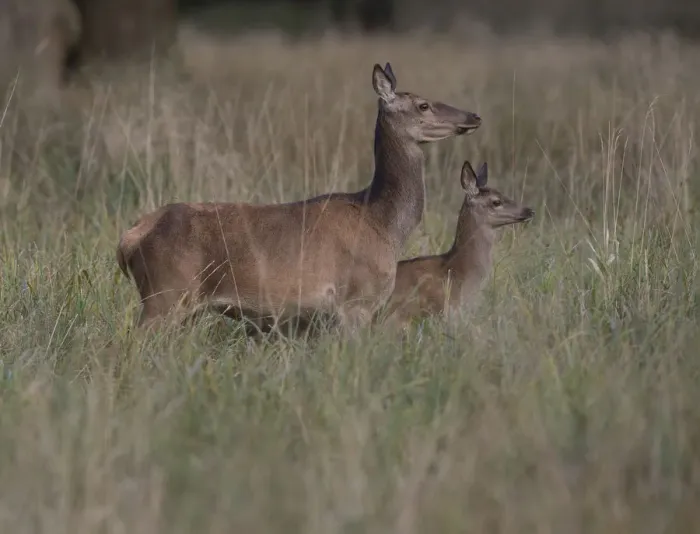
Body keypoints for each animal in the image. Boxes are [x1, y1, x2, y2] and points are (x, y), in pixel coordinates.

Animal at [116, 62, 482, 335]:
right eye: (423, 104)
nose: (473, 116)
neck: (383, 222)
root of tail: (130, 238)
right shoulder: (356, 301)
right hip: (165, 293)